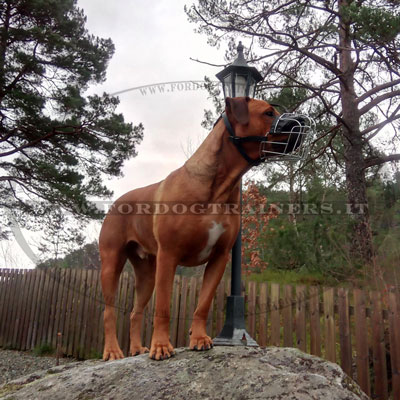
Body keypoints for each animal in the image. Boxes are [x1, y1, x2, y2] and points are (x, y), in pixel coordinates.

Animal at [99, 96, 296, 360]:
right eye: (268, 113)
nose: (299, 122)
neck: (219, 186)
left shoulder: (219, 257)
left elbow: (203, 304)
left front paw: (199, 338)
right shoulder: (168, 256)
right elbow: (163, 307)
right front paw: (161, 346)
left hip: (147, 272)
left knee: (135, 312)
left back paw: (137, 348)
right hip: (112, 263)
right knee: (109, 312)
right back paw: (113, 351)